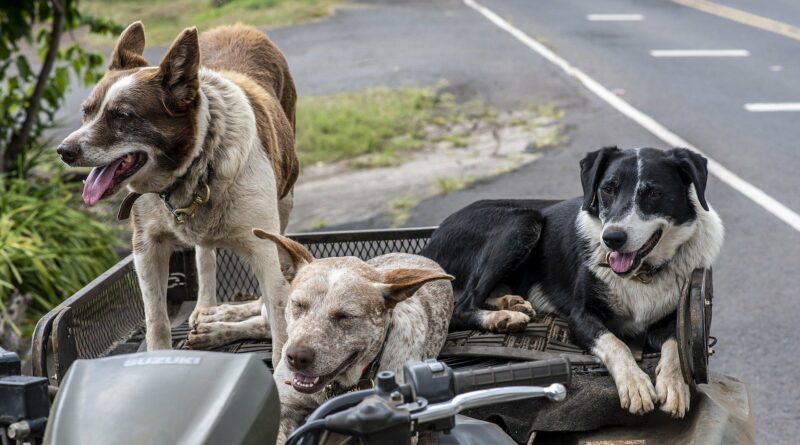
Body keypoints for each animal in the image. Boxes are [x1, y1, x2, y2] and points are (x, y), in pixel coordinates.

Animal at [56, 21, 298, 364]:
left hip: (286, 199)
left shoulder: (265, 249)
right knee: (205, 254)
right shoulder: (147, 247)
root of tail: (238, 26)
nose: (64, 151)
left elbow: (280, 327)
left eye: (122, 115)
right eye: (86, 112)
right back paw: (207, 309)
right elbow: (156, 320)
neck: (193, 167)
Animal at [424, 147, 724, 416]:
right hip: (523, 220)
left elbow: (676, 345)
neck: (642, 272)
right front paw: (635, 384)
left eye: (653, 193)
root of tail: (429, 244)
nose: (611, 238)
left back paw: (510, 304)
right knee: (461, 305)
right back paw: (502, 318)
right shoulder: (580, 316)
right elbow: (616, 343)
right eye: (608, 189)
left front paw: (674, 385)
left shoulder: (674, 317)